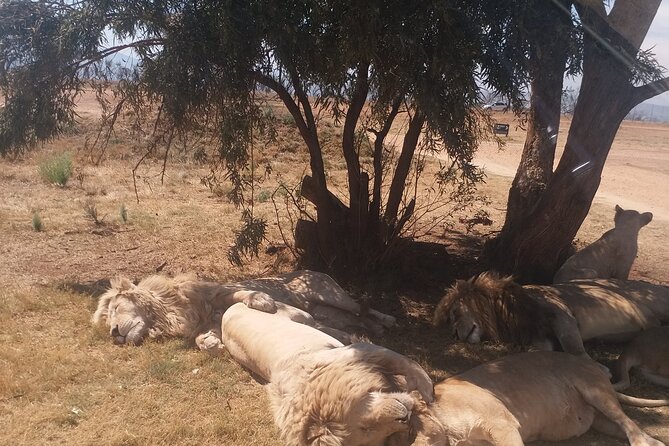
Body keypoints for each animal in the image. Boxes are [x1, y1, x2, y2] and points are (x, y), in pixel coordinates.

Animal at [92, 270, 396, 351]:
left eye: (116, 308)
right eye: (109, 319)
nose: (114, 333)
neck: (167, 313)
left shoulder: (216, 292)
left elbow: (239, 293)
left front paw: (263, 302)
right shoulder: (204, 321)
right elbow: (204, 338)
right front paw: (212, 344)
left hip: (331, 294)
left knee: (363, 306)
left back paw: (390, 320)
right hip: (330, 315)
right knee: (353, 322)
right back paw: (373, 330)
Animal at [221, 302, 434, 446]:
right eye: (369, 431)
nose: (405, 418)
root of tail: (227, 310)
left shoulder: (359, 352)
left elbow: (407, 363)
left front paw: (427, 391)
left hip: (297, 313)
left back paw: (382, 323)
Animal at [389, 352, 667, 446]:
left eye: (406, 433)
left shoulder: (503, 424)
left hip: (595, 391)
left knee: (630, 424)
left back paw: (648, 443)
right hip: (601, 421)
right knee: (628, 427)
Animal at [433, 273, 669, 360]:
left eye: (455, 313)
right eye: (449, 321)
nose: (454, 335)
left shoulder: (562, 314)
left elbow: (574, 349)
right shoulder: (539, 338)